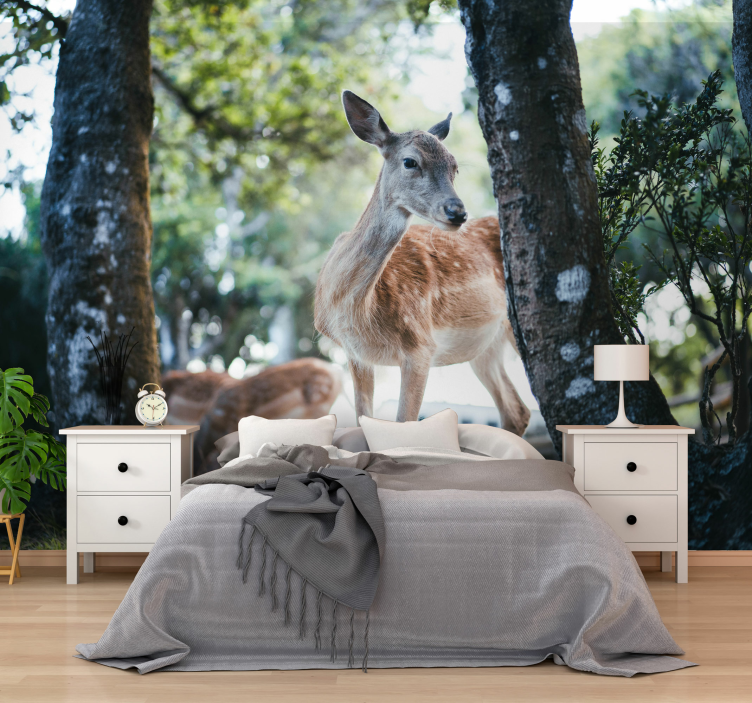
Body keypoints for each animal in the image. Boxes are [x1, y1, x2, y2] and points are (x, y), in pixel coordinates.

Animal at [314, 91, 530, 435]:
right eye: (410, 161)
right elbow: (364, 422)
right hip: (486, 345)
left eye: (455, 167)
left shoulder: (420, 344)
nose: (457, 212)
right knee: (516, 410)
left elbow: (404, 424)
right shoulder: (356, 355)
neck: (354, 307)